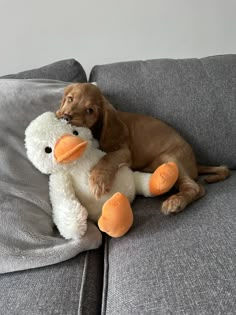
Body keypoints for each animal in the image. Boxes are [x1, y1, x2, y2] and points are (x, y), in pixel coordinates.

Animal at [54, 82, 229, 215]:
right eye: (70, 99)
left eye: (90, 110)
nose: (65, 117)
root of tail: (195, 163)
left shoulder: (125, 152)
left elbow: (107, 157)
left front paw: (98, 180)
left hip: (169, 158)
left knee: (197, 188)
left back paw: (175, 202)